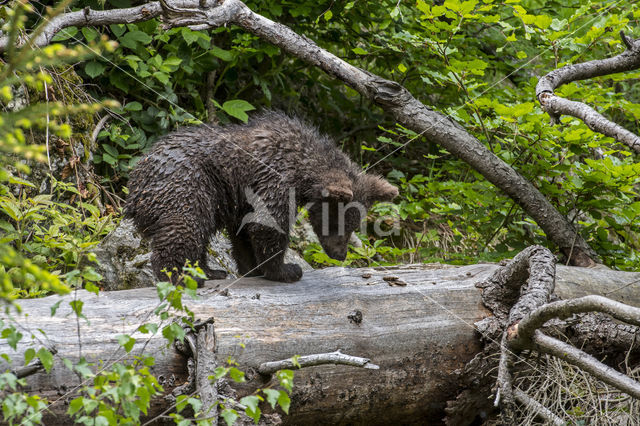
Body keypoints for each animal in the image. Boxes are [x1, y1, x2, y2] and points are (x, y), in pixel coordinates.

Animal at [123, 110, 398, 282]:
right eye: (337, 223)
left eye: (352, 226)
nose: (340, 255)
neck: (305, 170)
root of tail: (134, 186)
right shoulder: (275, 179)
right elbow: (268, 224)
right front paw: (286, 270)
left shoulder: (244, 199)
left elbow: (244, 233)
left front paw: (251, 268)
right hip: (186, 185)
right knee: (183, 227)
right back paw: (178, 276)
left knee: (199, 231)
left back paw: (208, 272)